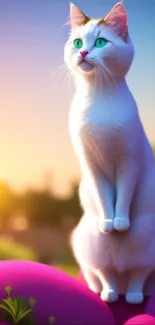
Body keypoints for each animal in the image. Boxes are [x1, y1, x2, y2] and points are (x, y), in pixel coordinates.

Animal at [64, 1, 155, 302]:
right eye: (78, 42)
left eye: (101, 42)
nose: (82, 52)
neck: (99, 97)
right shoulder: (91, 165)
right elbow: (105, 196)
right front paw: (108, 222)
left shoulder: (129, 161)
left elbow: (123, 194)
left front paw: (121, 223)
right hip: (90, 245)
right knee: (105, 273)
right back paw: (109, 293)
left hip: (146, 242)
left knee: (140, 273)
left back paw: (135, 296)